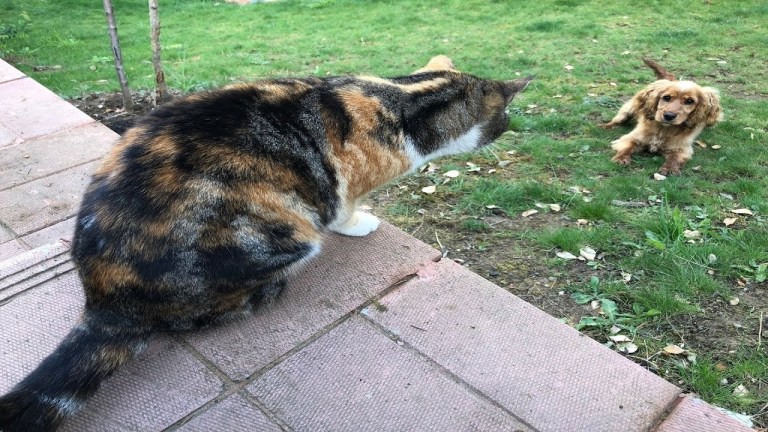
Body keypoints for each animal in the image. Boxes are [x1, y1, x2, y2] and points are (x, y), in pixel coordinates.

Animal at [0, 55, 528, 430]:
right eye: (505, 116)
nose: (512, 129)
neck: (403, 100)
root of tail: (105, 299)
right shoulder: (344, 186)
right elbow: (343, 206)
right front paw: (358, 223)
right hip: (285, 234)